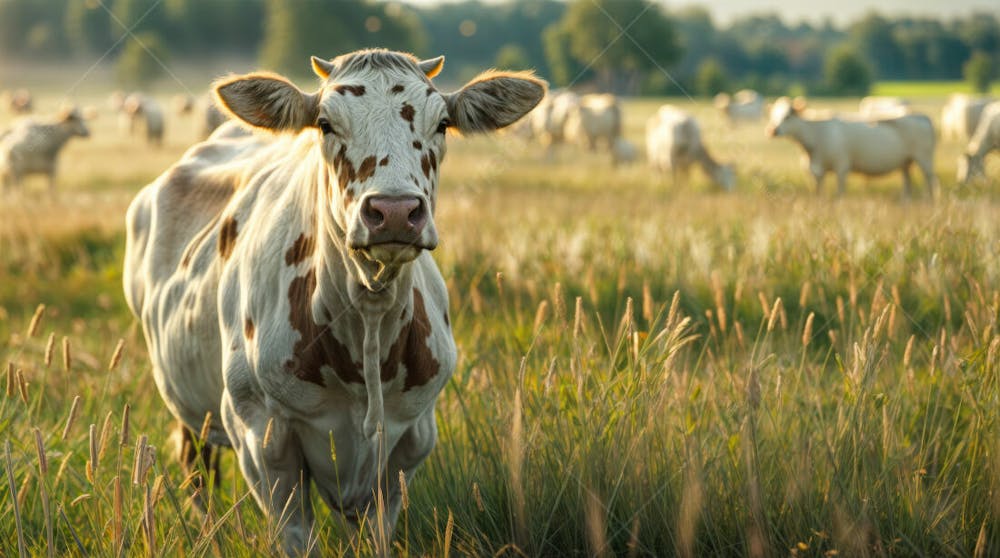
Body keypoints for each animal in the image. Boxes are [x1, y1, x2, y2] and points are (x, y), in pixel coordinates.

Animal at [124, 49, 548, 556]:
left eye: (443, 123)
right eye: (325, 124)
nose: (395, 211)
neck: (367, 322)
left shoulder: (409, 441)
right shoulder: (261, 437)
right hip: (191, 409)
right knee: (197, 473)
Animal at [764, 97, 936, 198]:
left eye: (787, 116)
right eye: (772, 115)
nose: (772, 130)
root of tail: (922, 116)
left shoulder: (842, 166)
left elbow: (840, 193)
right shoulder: (814, 172)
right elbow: (818, 193)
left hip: (924, 157)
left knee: (930, 180)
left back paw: (929, 200)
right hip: (905, 162)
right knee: (908, 183)